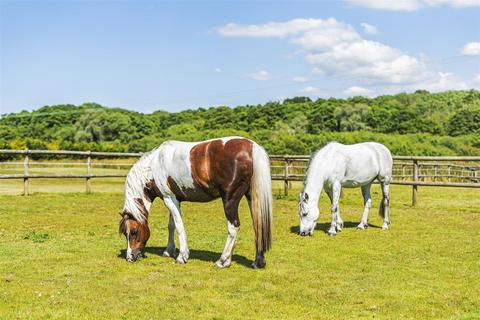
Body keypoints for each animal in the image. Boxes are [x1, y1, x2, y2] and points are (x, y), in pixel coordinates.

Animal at [118, 136, 272, 268]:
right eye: (125, 233)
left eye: (134, 231)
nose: (130, 257)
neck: (154, 165)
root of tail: (252, 147)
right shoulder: (175, 200)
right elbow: (171, 225)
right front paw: (169, 251)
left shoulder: (169, 198)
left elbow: (179, 226)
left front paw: (182, 256)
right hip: (252, 198)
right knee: (258, 225)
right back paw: (257, 262)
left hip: (230, 200)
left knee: (233, 227)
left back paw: (223, 261)